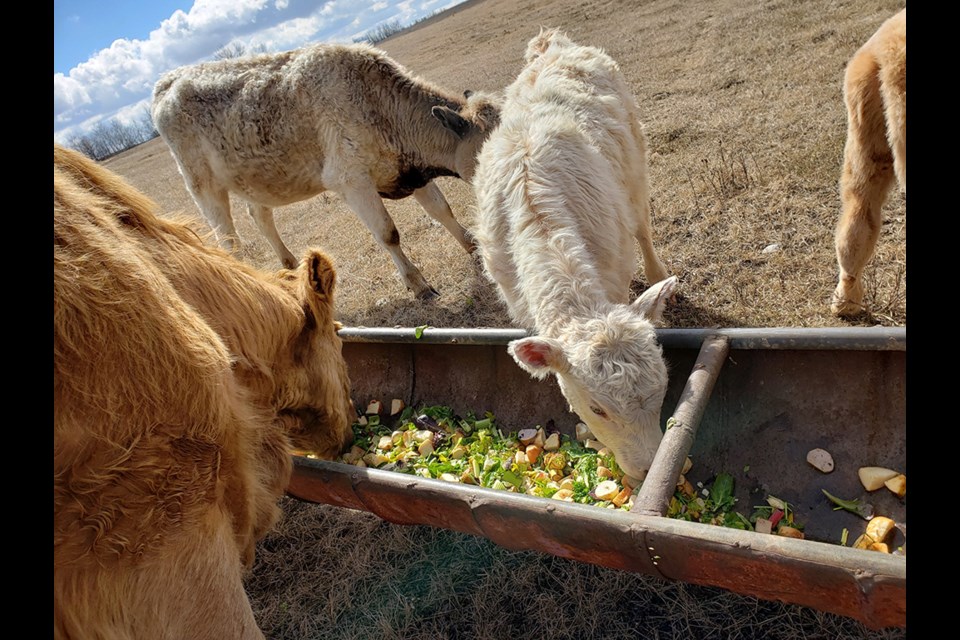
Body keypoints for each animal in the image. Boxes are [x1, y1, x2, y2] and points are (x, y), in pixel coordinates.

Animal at [150, 43, 502, 298]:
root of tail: (169, 80)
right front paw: (418, 285)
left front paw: (473, 249)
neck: (375, 103)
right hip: (203, 186)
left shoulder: (406, 170)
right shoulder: (352, 181)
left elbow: (441, 209)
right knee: (228, 240)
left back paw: (290, 267)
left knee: (260, 216)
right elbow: (388, 233)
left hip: (252, 179)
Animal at [472, 28, 676, 480]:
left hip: (635, 159)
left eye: (664, 387)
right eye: (597, 408)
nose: (646, 471)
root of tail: (550, 41)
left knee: (642, 224)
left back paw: (658, 276)